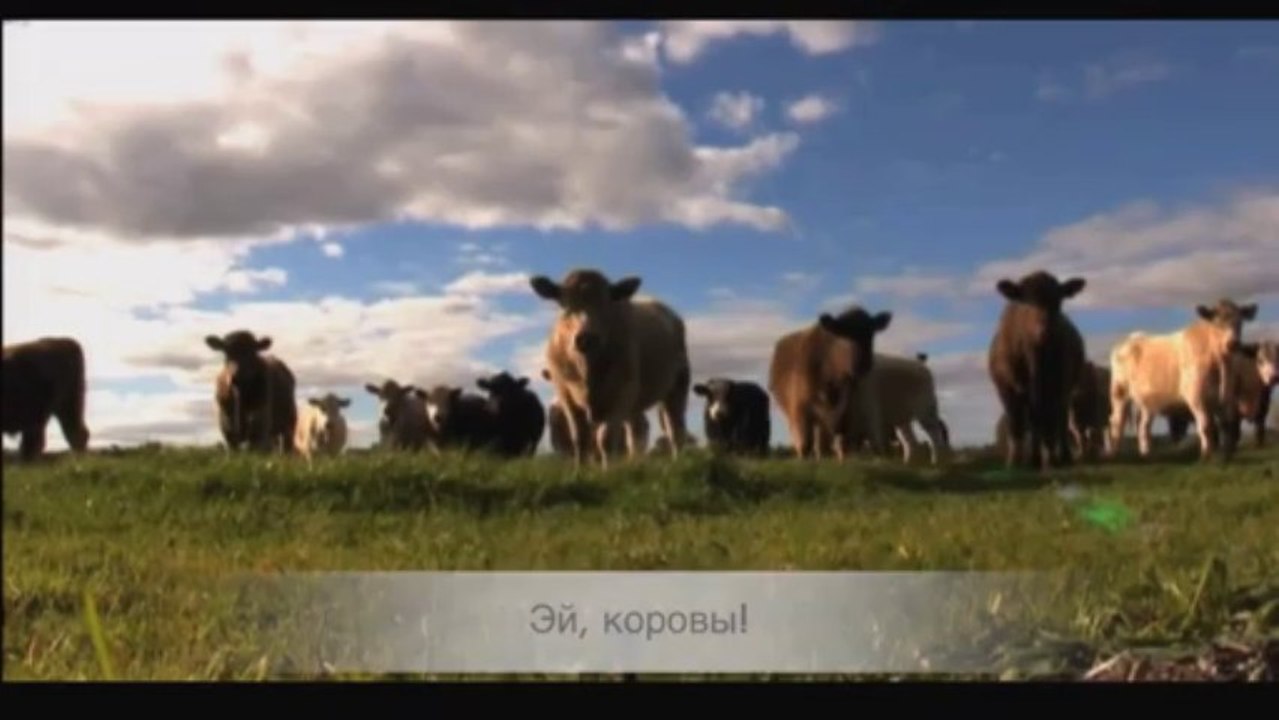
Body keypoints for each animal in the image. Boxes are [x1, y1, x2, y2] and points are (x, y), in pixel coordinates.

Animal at [530, 269, 691, 469]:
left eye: (607, 304)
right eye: (564, 304)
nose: (586, 338)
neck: (587, 370)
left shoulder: (621, 392)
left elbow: (605, 438)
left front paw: (608, 470)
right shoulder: (565, 394)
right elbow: (580, 438)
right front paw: (580, 471)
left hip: (678, 384)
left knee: (674, 427)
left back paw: (678, 462)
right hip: (635, 403)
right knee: (636, 430)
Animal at [768, 304, 893, 461]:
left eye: (871, 333)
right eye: (843, 333)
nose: (864, 362)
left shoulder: (848, 412)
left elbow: (842, 444)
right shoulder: (800, 408)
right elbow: (805, 444)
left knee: (822, 444)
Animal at [988, 271, 1088, 470]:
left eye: (1058, 301)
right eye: (1025, 301)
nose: (1045, 331)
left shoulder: (1058, 385)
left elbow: (1049, 420)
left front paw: (1049, 458)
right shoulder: (1006, 389)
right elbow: (1017, 424)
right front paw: (1015, 461)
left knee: (1059, 420)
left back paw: (1062, 456)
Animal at [1107, 299, 1259, 461]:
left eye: (1240, 322)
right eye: (1217, 323)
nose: (1233, 344)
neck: (1219, 364)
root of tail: (1129, 339)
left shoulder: (1226, 399)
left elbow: (1226, 426)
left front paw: (1226, 456)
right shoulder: (1196, 396)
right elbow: (1206, 425)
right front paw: (1206, 454)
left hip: (1148, 402)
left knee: (1143, 427)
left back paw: (1146, 454)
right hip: (1119, 391)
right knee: (1116, 422)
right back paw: (1114, 454)